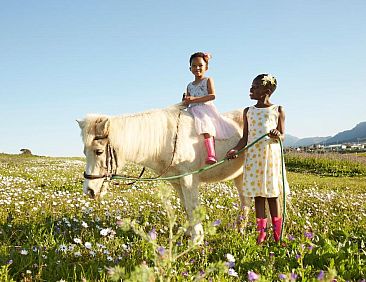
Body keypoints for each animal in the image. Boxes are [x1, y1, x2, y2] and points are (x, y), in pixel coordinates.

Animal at [76, 104, 249, 242]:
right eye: (84, 152)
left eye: (98, 151)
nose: (89, 190)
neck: (169, 140)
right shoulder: (177, 182)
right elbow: (186, 207)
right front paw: (189, 233)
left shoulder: (189, 180)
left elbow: (192, 207)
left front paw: (196, 239)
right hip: (240, 176)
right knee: (245, 201)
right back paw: (240, 228)